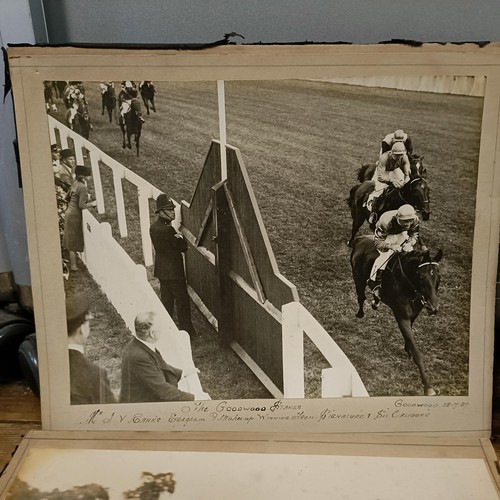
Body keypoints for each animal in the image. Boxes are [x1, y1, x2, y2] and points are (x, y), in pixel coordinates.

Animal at [352, 236, 442, 396]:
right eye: (421, 277)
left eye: (439, 277)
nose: (433, 307)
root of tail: (361, 239)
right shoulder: (402, 317)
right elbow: (417, 352)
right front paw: (427, 386)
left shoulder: (414, 313)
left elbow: (410, 335)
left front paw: (408, 349)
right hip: (358, 279)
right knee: (361, 297)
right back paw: (361, 312)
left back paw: (375, 301)